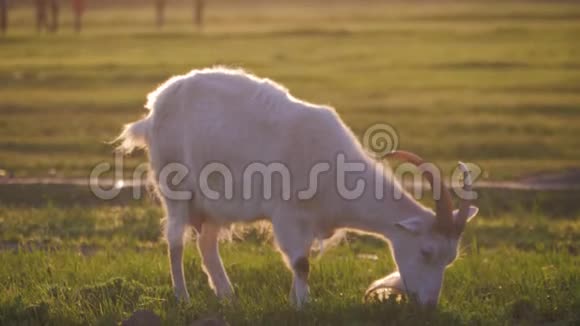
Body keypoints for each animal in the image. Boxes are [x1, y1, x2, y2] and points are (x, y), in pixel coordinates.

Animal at [115, 67, 478, 306]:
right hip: (175, 187)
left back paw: (228, 295)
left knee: (207, 244)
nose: (429, 306)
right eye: (426, 251)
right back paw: (183, 296)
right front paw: (304, 305)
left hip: (214, 205)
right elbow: (301, 263)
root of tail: (154, 109)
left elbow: (301, 263)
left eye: (450, 259)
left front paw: (295, 300)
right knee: (175, 241)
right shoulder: (288, 215)